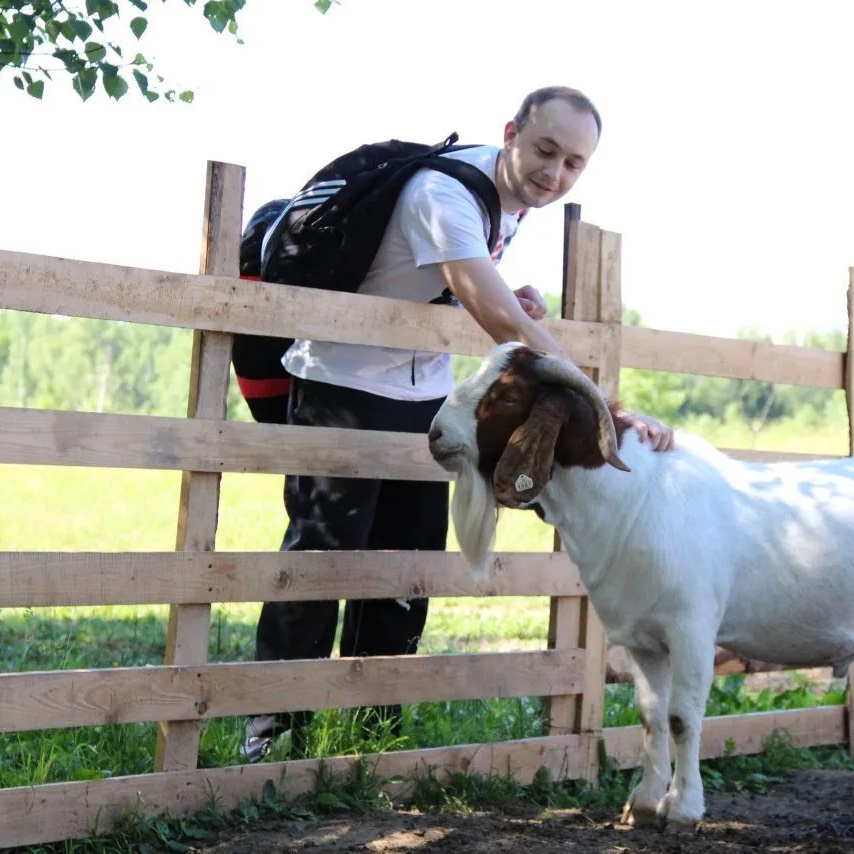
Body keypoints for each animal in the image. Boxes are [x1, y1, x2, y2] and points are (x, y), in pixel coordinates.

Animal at [428, 341, 854, 831]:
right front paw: (646, 804)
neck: (635, 497)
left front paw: (684, 808)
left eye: (511, 395)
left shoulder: (692, 629)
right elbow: (652, 716)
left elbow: (683, 717)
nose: (436, 435)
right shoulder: (642, 641)